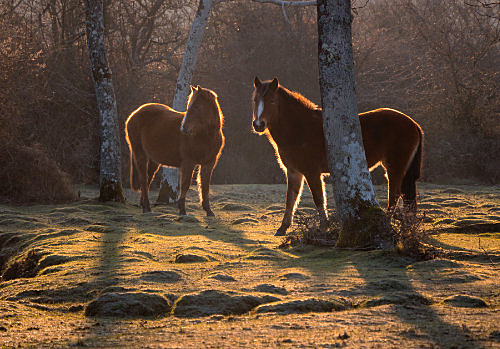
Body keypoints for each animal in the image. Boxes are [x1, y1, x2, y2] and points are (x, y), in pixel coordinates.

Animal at [125, 85, 225, 215]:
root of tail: (134, 113)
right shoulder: (188, 163)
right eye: (188, 105)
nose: (183, 128)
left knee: (148, 180)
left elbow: (205, 186)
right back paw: (147, 208)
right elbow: (185, 184)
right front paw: (182, 210)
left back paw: (143, 205)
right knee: (143, 179)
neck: (205, 136)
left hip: (153, 160)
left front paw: (208, 210)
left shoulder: (209, 163)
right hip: (140, 154)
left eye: (197, 106)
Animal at [254, 77, 422, 235]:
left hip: (395, 168)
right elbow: (290, 199)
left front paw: (323, 226)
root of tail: (414, 124)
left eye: (272, 101)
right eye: (255, 100)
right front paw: (283, 228)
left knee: (394, 195)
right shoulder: (294, 172)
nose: (258, 125)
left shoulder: (312, 172)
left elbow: (318, 198)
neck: (300, 128)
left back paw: (386, 224)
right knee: (406, 197)